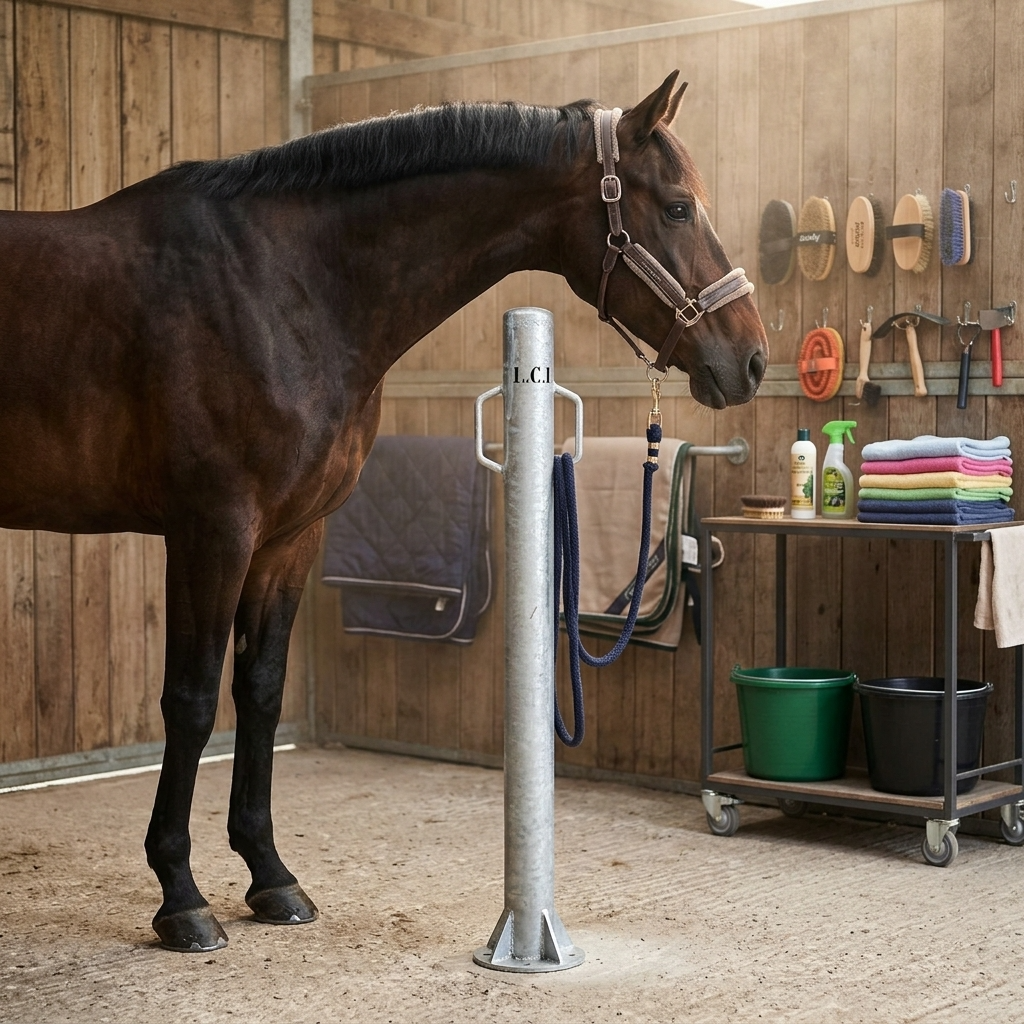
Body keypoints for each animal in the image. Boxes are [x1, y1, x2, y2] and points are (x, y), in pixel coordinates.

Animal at [0, 70, 766, 952]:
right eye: (676, 207)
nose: (751, 358)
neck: (279, 286)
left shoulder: (290, 537)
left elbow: (260, 692)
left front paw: (271, 877)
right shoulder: (211, 531)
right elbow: (190, 702)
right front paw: (181, 897)